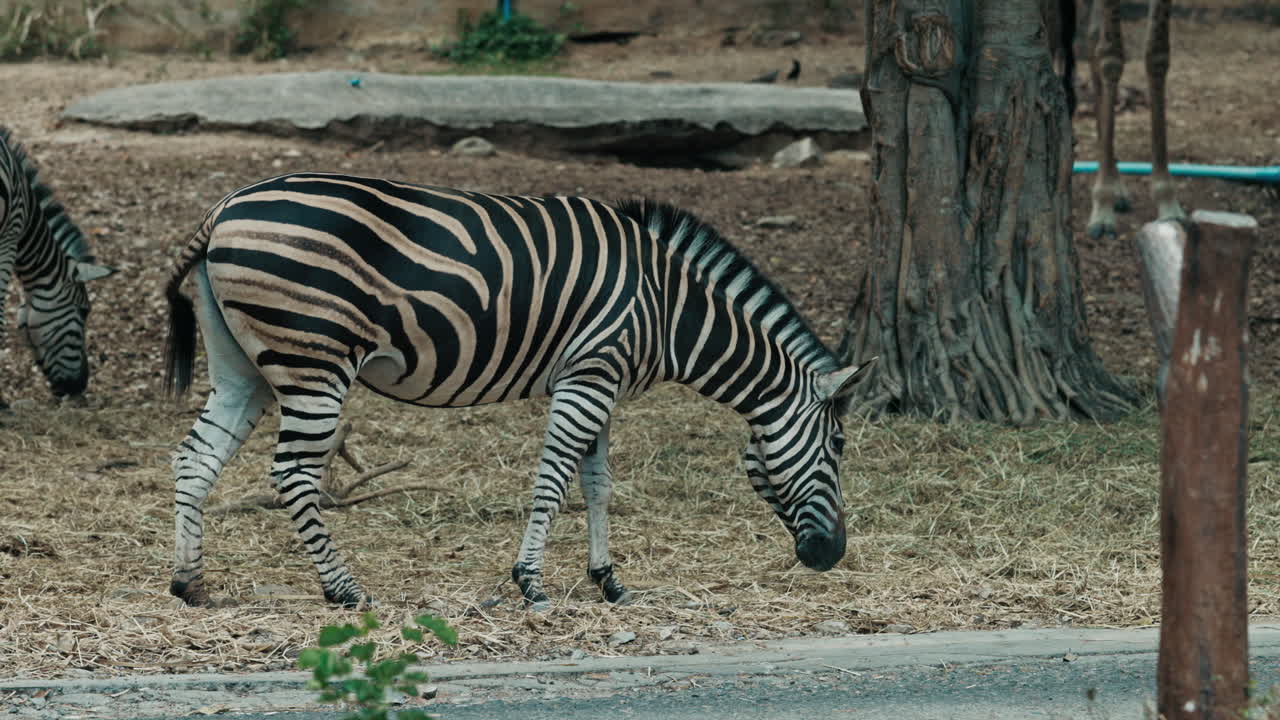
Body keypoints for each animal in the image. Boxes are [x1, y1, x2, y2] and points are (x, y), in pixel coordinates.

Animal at [164, 171, 875, 609]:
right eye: (839, 445)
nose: (832, 556)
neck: (669, 308)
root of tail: (223, 208)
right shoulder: (588, 377)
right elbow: (553, 480)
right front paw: (531, 583)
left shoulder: (603, 380)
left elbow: (597, 484)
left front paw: (608, 581)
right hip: (315, 360)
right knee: (293, 473)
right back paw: (344, 590)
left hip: (244, 364)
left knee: (195, 458)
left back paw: (190, 583)